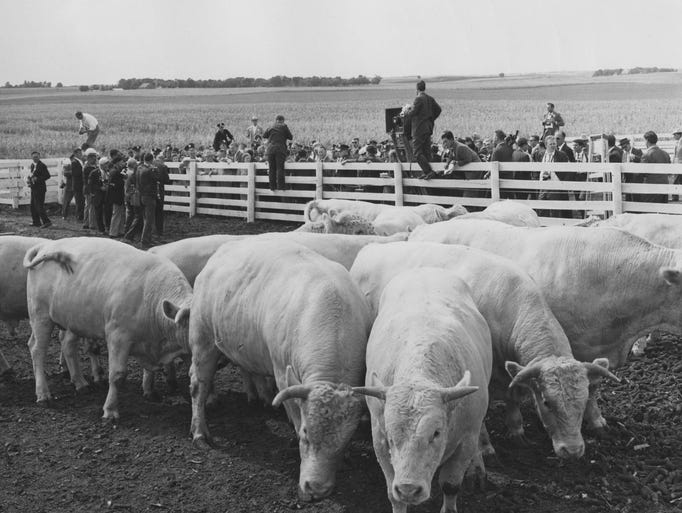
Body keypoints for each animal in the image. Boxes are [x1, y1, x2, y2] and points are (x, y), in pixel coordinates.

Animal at [187, 239, 372, 500]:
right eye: (305, 434)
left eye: (345, 442)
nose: (317, 489)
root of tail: (224, 249)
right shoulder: (282, 374)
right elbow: (293, 412)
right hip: (203, 339)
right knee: (198, 386)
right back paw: (200, 432)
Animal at [354, 268, 486, 512]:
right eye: (391, 436)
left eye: (436, 433)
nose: (409, 489)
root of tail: (426, 269)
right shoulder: (379, 441)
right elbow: (393, 495)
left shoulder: (467, 440)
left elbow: (451, 485)